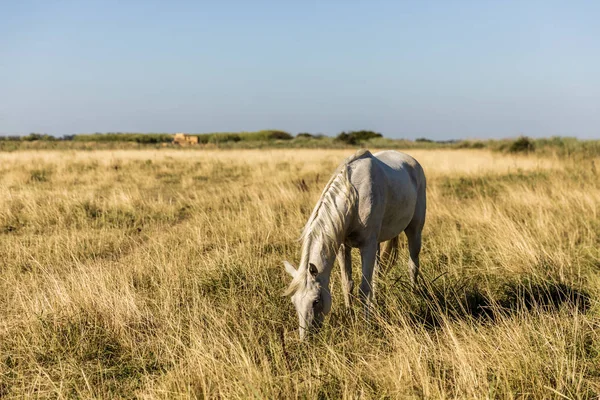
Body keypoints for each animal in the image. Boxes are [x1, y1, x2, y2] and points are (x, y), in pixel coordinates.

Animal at [284, 148, 424, 340]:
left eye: (316, 301)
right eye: (294, 301)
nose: (305, 340)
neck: (354, 196)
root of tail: (411, 160)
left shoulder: (367, 246)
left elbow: (363, 288)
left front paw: (366, 326)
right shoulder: (344, 247)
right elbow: (347, 284)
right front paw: (350, 317)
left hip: (414, 230)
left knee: (412, 265)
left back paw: (413, 295)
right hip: (378, 244)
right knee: (377, 274)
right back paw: (375, 305)